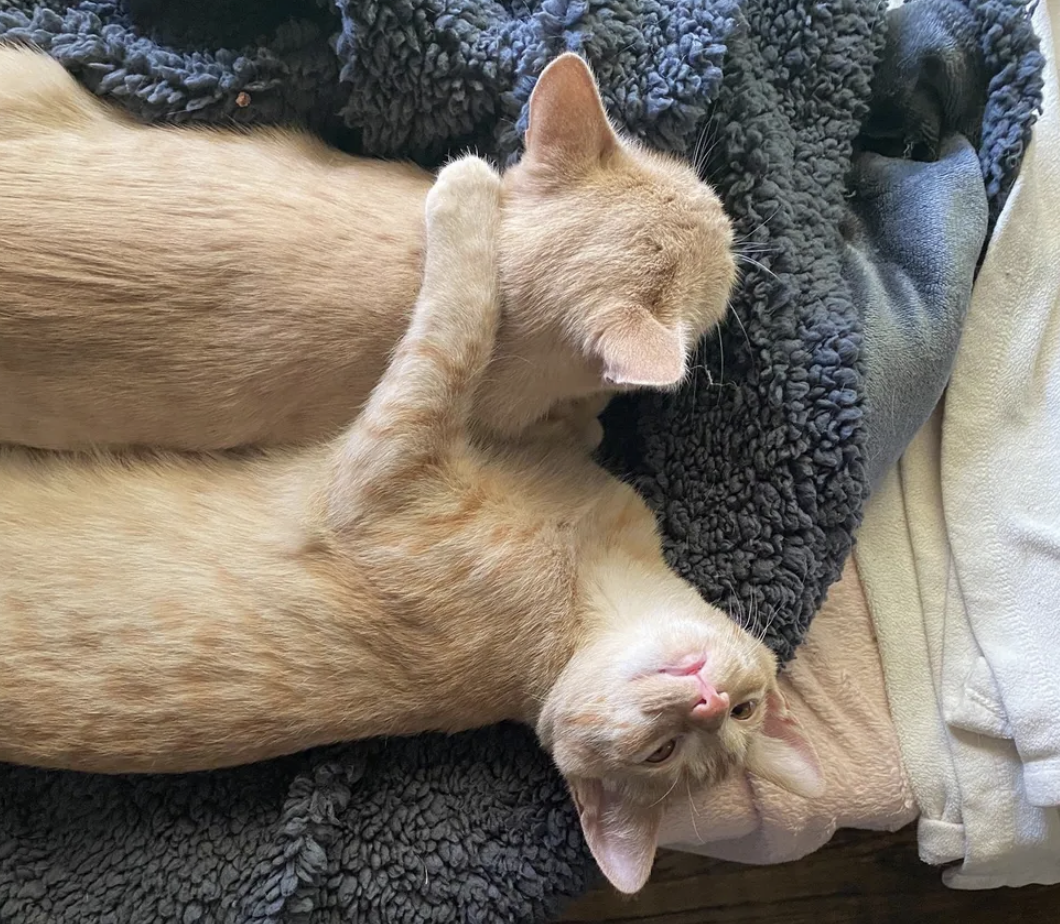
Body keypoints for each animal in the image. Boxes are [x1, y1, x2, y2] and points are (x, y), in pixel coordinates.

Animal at [0, 156, 819, 895]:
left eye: (668, 752)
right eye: (742, 709)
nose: (706, 701)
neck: (591, 571)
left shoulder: (385, 464)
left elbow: (451, 340)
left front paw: (465, 198)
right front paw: (579, 417)